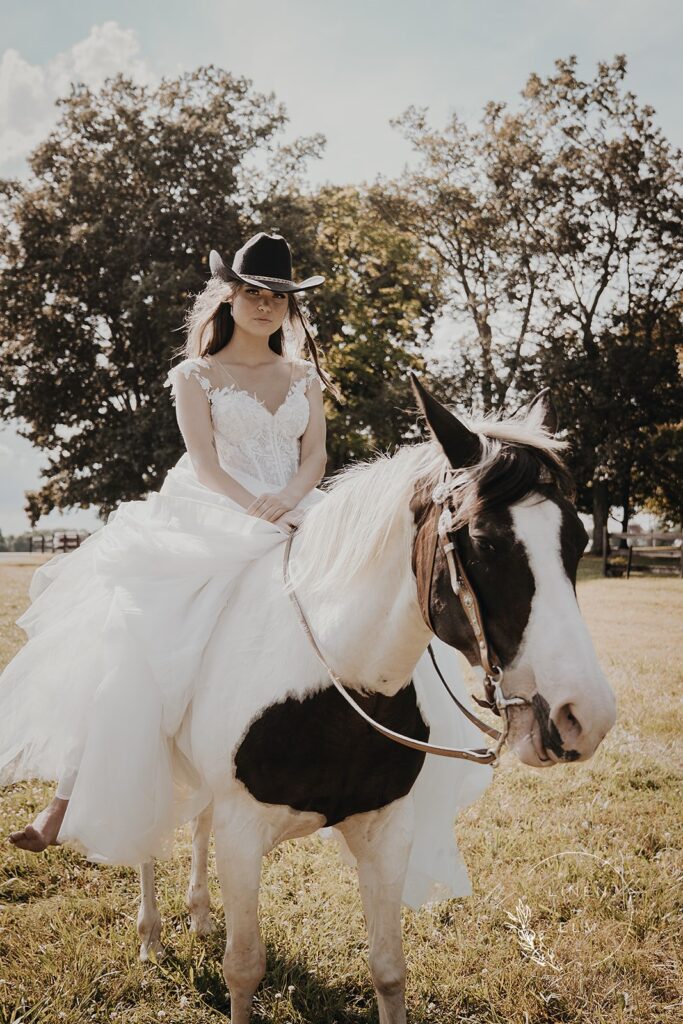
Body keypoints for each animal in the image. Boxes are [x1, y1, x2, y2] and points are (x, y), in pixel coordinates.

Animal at [136, 376, 618, 1024]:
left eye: (578, 538)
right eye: (484, 542)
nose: (585, 716)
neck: (335, 687)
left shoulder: (387, 832)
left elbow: (389, 970)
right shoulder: (243, 835)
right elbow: (244, 968)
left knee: (197, 821)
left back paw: (200, 916)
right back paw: (151, 936)